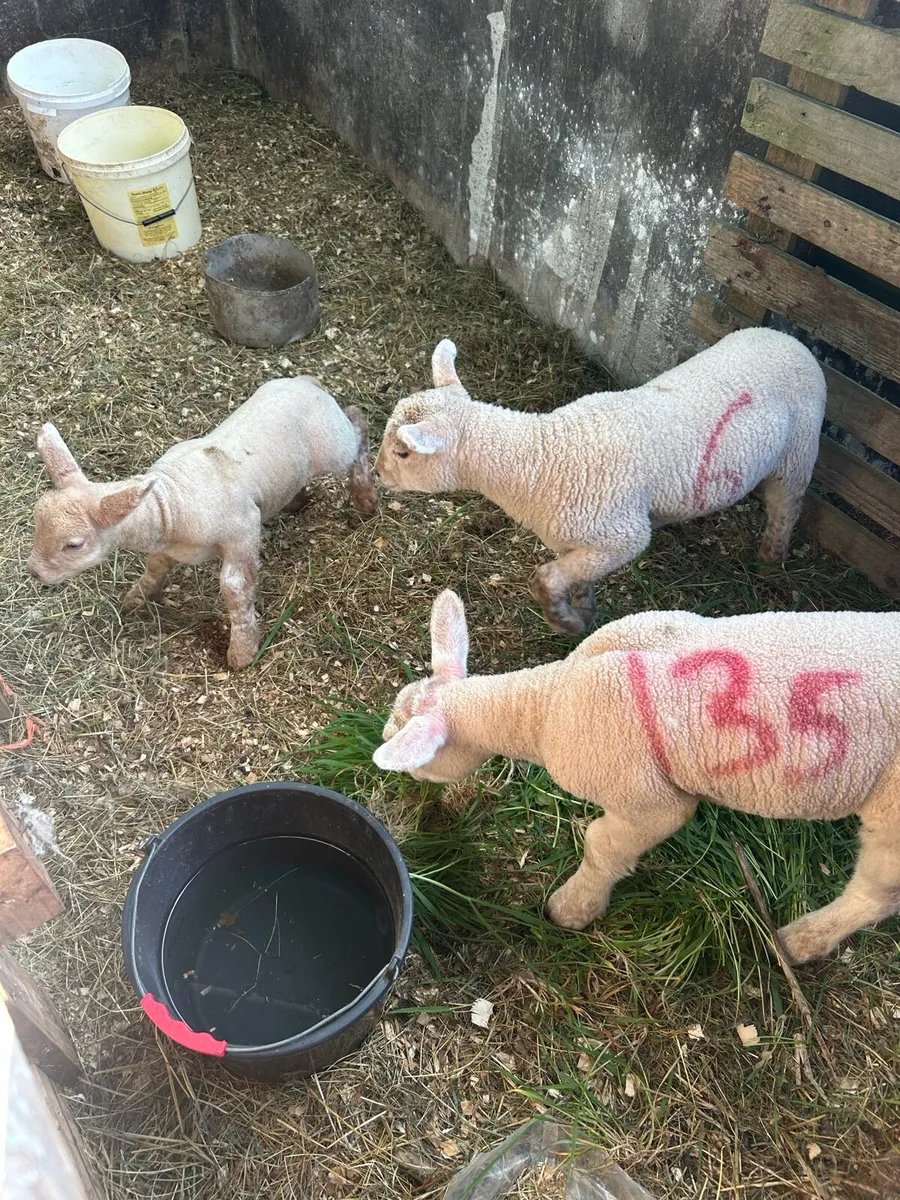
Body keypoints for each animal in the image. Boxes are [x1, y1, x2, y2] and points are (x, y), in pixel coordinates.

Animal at [27, 377, 377, 669]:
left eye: (74, 544)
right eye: (36, 519)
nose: (35, 572)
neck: (170, 503)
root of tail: (308, 381)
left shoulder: (243, 529)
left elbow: (235, 588)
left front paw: (242, 650)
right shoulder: (168, 543)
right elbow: (155, 566)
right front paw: (138, 597)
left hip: (333, 444)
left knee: (358, 421)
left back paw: (365, 497)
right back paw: (297, 499)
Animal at [373, 590, 900, 964]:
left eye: (414, 754)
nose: (407, 784)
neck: (545, 705)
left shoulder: (647, 800)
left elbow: (602, 845)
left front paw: (574, 908)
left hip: (892, 812)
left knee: (876, 894)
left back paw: (800, 941)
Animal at [375, 329, 825, 635]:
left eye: (403, 452)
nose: (377, 474)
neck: (538, 458)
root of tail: (790, 338)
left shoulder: (624, 536)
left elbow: (545, 579)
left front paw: (567, 624)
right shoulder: (582, 541)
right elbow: (576, 581)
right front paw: (585, 613)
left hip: (799, 451)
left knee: (786, 506)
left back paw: (769, 564)